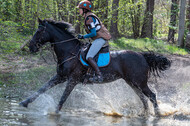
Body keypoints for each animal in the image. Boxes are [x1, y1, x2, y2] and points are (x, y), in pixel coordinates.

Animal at [18, 18, 171, 115]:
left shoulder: (72, 79)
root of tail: (142, 56)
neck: (69, 51)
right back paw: (144, 114)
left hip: (140, 82)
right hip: (132, 82)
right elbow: (42, 88)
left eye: (39, 32)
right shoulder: (60, 76)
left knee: (152, 96)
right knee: (143, 98)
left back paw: (158, 114)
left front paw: (55, 113)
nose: (31, 47)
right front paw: (24, 103)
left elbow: (63, 98)